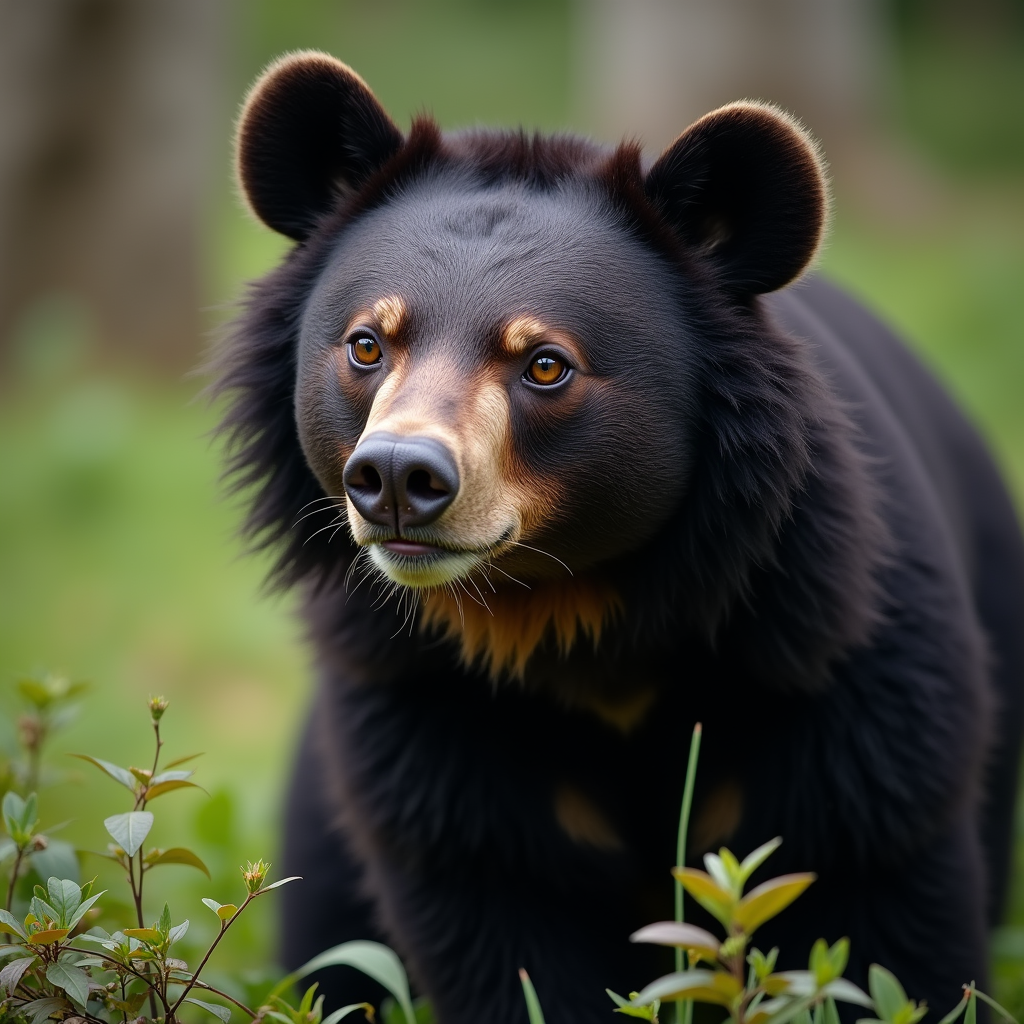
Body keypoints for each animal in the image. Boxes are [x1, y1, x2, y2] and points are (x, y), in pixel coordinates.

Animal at [216, 52, 1024, 1024]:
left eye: (545, 364)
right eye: (367, 344)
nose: (399, 479)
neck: (579, 611)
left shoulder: (855, 685)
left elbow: (886, 921)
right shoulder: (423, 720)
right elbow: (499, 923)